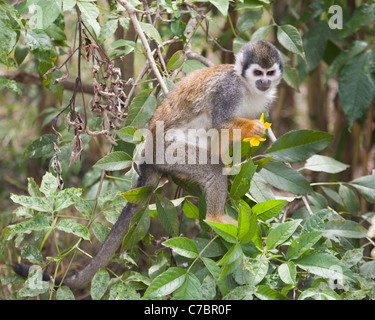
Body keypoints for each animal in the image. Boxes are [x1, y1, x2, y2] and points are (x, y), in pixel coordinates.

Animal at [15, 40, 284, 288]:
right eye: (258, 73)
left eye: (269, 73)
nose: (264, 82)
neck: (247, 87)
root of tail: (149, 158)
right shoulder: (229, 92)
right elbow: (220, 122)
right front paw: (252, 129)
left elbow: (224, 132)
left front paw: (235, 154)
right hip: (169, 152)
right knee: (209, 167)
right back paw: (215, 216)